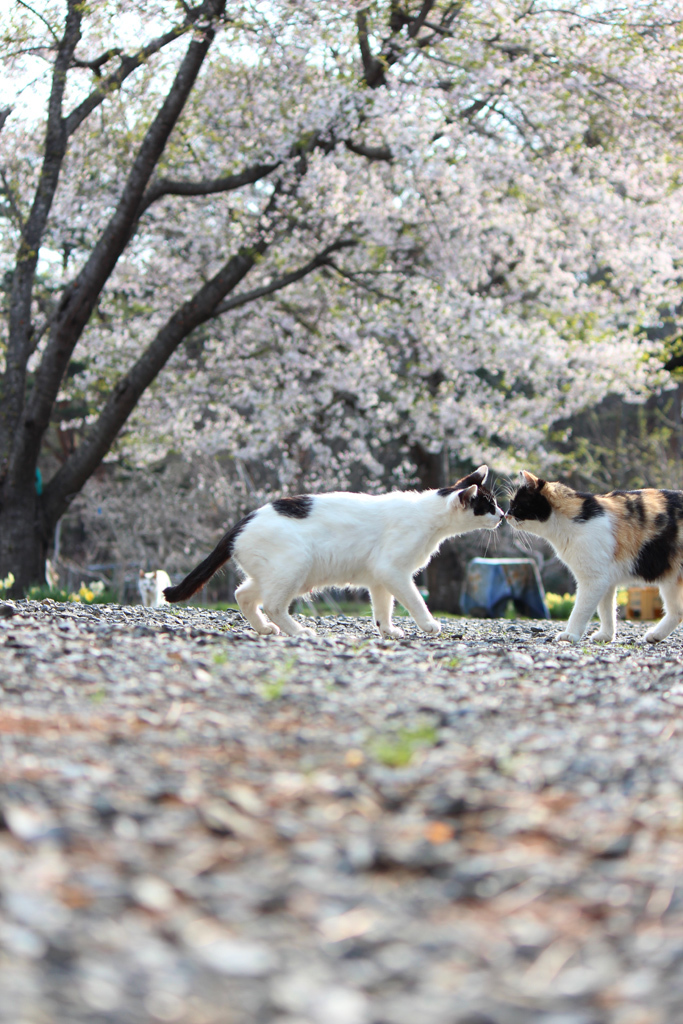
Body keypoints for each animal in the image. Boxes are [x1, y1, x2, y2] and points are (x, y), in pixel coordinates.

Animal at [163, 468, 505, 634]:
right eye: (488, 505)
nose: (503, 515)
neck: (429, 516)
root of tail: (241, 522)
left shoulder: (380, 579)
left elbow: (383, 608)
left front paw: (387, 631)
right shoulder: (392, 571)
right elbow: (415, 601)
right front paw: (428, 624)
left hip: (275, 574)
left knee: (243, 595)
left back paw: (264, 629)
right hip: (295, 566)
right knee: (272, 604)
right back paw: (298, 631)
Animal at [505, 468, 683, 643]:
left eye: (516, 504)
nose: (506, 515)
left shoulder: (594, 580)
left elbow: (579, 611)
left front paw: (570, 635)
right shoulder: (606, 581)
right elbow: (606, 611)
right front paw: (606, 636)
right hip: (670, 580)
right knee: (677, 612)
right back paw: (655, 635)